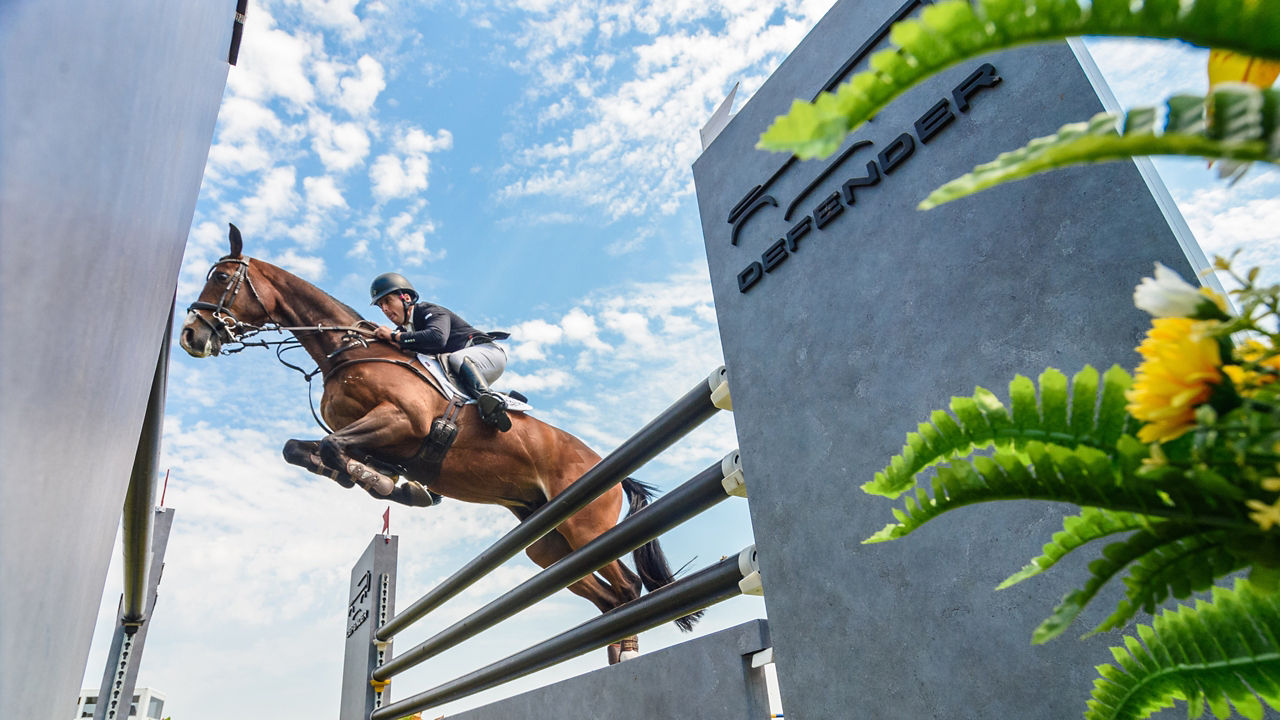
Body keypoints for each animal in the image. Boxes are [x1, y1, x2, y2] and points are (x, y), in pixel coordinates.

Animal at [177, 224, 701, 661]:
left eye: (221, 277)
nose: (190, 335)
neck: (348, 351)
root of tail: (611, 469)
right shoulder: (370, 436)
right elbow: (302, 449)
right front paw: (382, 482)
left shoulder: (401, 421)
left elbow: (331, 448)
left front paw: (383, 484)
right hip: (549, 541)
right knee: (606, 595)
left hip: (585, 526)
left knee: (628, 588)